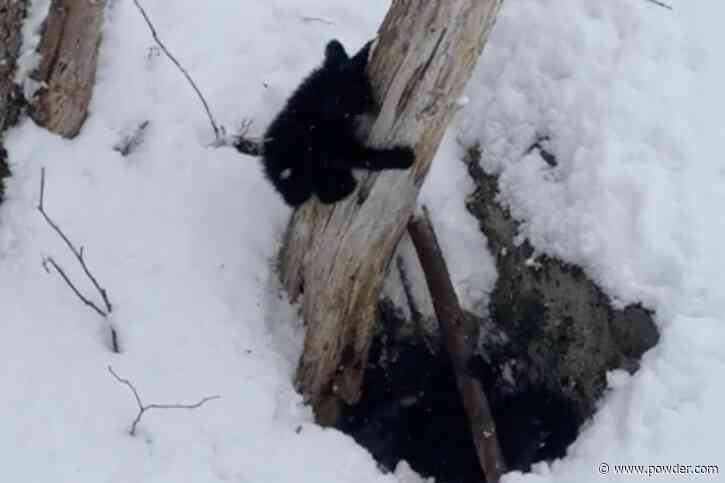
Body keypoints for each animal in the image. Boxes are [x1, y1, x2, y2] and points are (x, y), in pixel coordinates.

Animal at [243, 39, 415, 207]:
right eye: (363, 97)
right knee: (312, 193)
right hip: (296, 171)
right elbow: (367, 158)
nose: (375, 106)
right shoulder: (332, 145)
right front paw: (402, 157)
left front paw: (368, 45)